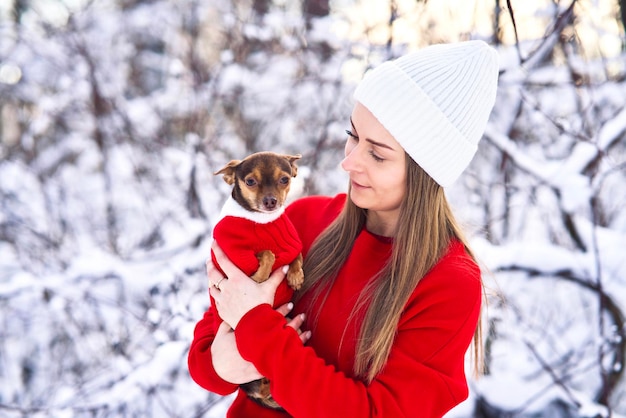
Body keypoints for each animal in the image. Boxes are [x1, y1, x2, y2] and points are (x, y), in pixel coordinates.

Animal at [208, 150, 304, 408]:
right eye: (250, 181)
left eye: (284, 179)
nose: (271, 201)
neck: (262, 222)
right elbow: (268, 253)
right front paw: (261, 275)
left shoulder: (292, 244)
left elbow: (295, 255)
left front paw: (295, 276)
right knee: (262, 390)